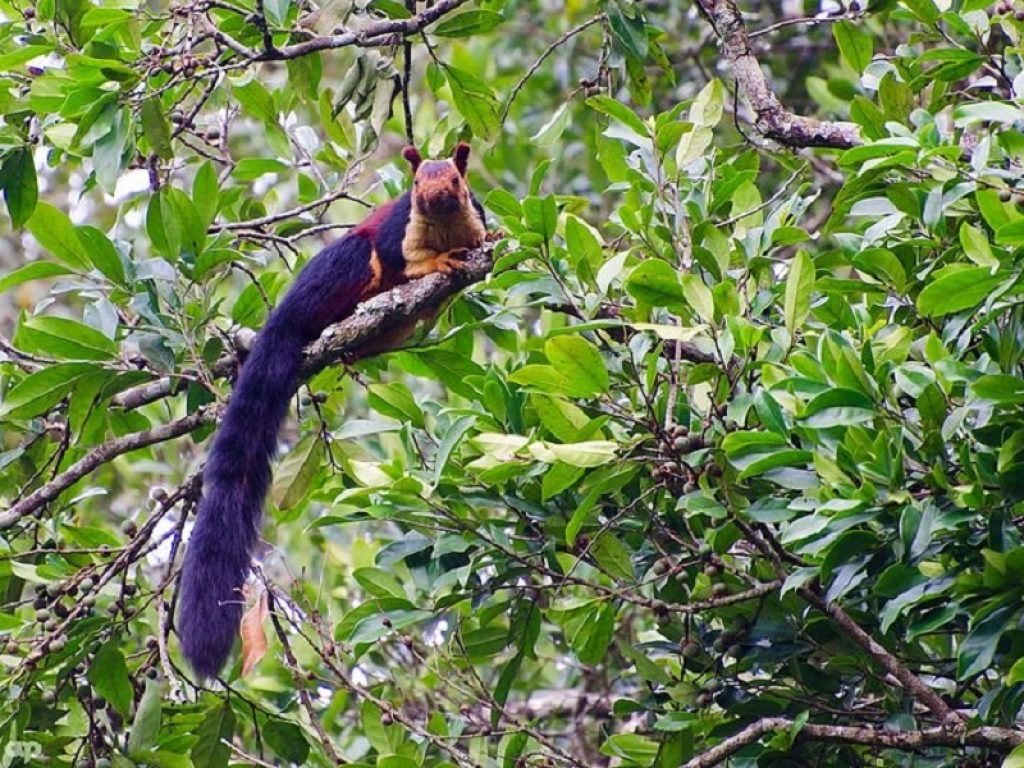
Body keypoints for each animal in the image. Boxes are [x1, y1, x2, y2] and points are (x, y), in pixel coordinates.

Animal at [178, 142, 491, 678]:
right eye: (416, 185)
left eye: (454, 181)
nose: (432, 199)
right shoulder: (398, 233)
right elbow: (405, 260)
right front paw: (438, 262)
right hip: (345, 268)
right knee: (361, 267)